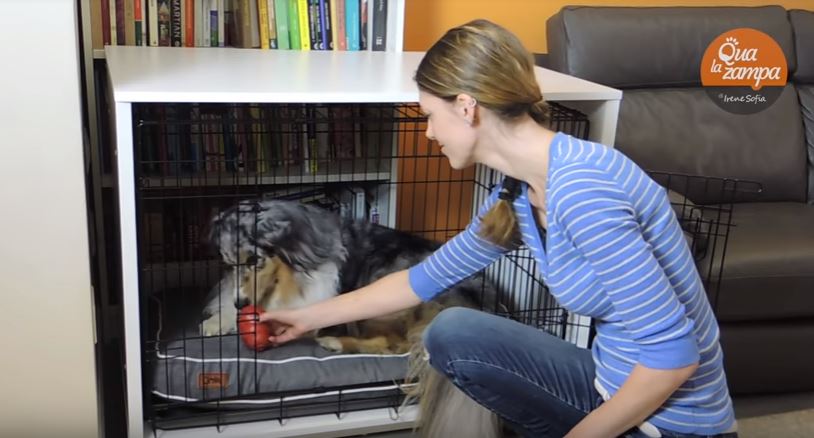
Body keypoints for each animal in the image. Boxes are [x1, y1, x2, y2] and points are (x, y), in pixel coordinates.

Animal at [199, 199, 504, 438]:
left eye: (254, 260)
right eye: (228, 261)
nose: (241, 303)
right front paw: (217, 321)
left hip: (382, 287)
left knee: (395, 344)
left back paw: (335, 342)